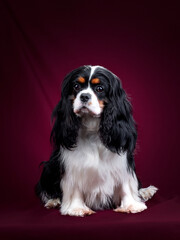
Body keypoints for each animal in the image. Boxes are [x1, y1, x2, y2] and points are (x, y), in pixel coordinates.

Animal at [35, 64, 158, 217]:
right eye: (76, 86)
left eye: (99, 88)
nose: (84, 96)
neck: (92, 128)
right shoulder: (72, 164)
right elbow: (75, 185)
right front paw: (77, 208)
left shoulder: (121, 161)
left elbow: (125, 183)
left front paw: (131, 205)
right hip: (49, 166)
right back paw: (54, 201)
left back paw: (145, 192)